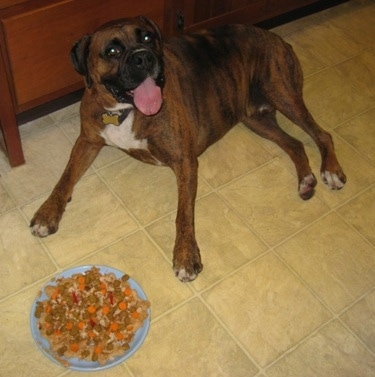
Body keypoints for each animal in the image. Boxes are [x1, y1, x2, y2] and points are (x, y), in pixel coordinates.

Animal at [30, 16, 348, 282]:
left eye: (147, 38)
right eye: (112, 51)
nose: (144, 57)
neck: (124, 110)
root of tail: (275, 36)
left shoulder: (185, 161)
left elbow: (183, 213)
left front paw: (185, 256)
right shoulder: (87, 141)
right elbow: (65, 178)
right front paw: (48, 213)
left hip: (283, 94)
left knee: (322, 135)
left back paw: (331, 171)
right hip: (255, 118)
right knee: (295, 143)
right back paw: (306, 180)